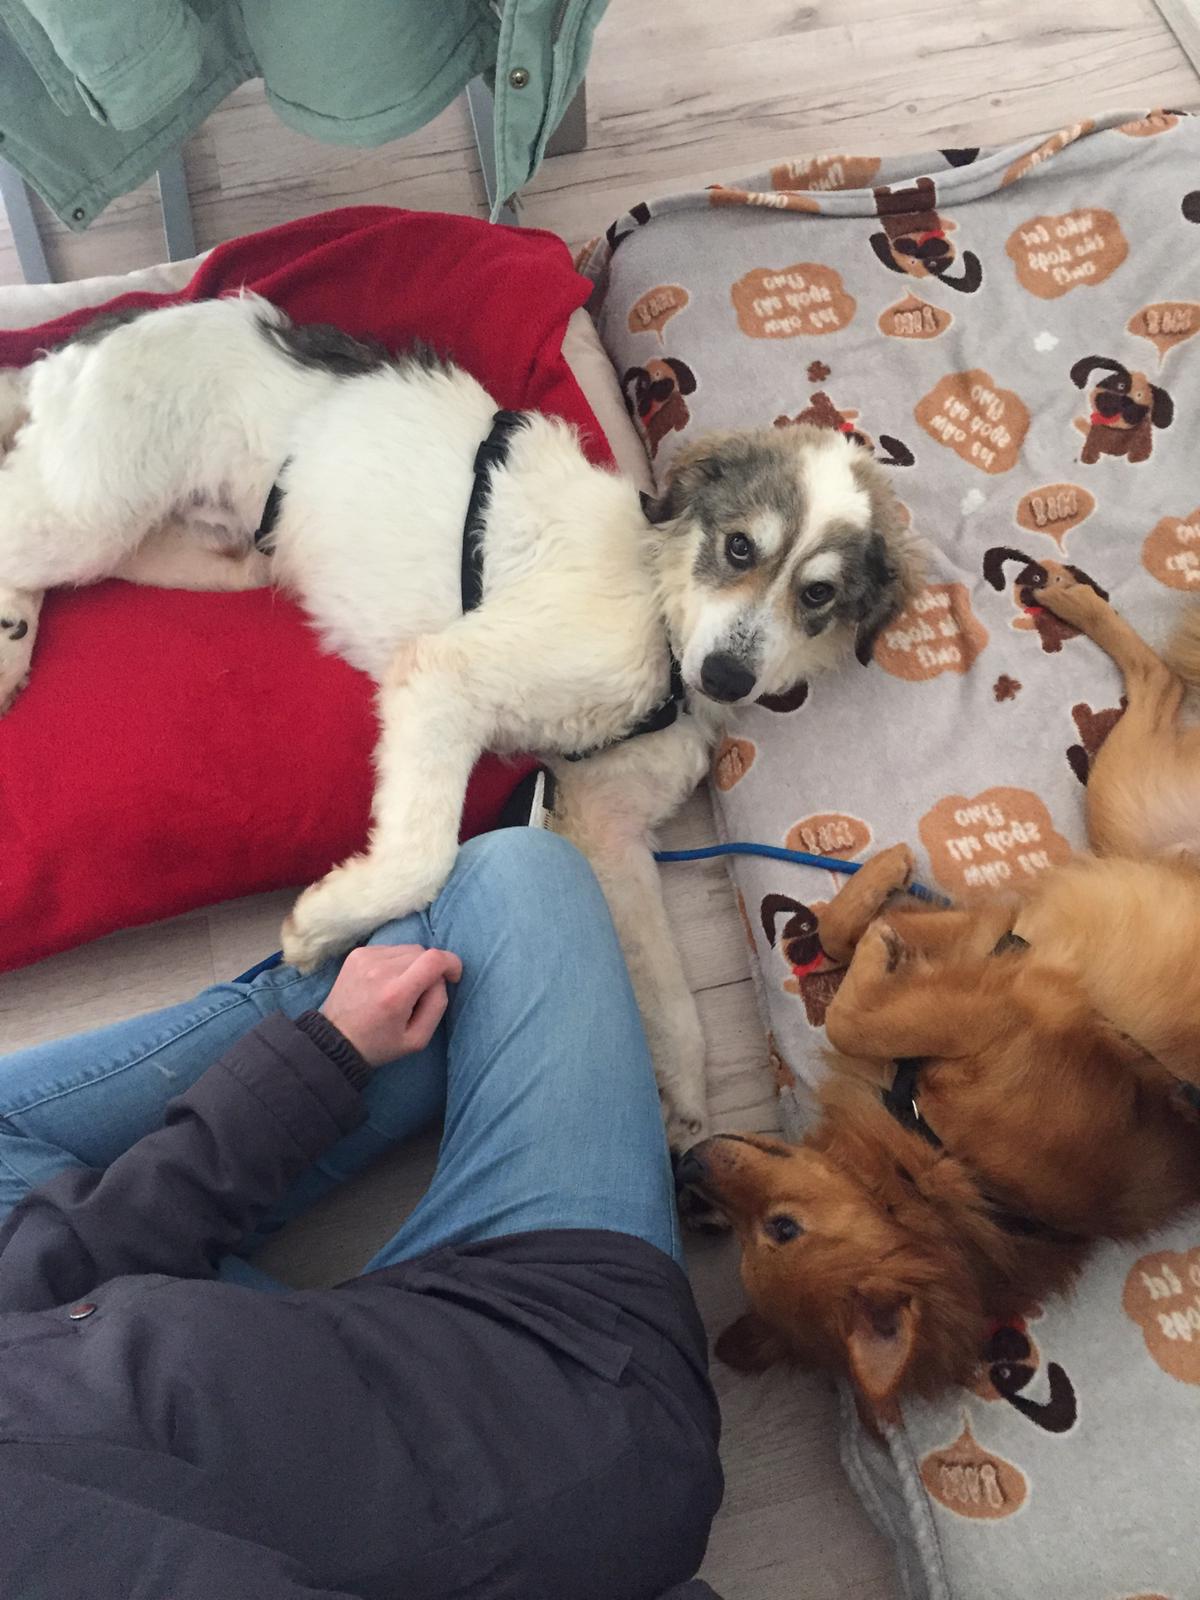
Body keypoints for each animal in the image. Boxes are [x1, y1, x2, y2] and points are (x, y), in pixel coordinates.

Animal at [0, 294, 920, 1146]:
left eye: (818, 595)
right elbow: (423, 856)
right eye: (738, 548)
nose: (727, 676)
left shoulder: (607, 825)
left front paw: (686, 1110)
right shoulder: (447, 676)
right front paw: (329, 922)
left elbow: (672, 997)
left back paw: (14, 635)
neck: (662, 623)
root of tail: (107, 325)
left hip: (189, 551)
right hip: (96, 509)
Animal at [680, 563, 1200, 1410]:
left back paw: (1070, 597)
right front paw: (875, 921)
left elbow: (847, 986)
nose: (687, 1167)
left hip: (1118, 793)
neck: (937, 1161)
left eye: (782, 1228)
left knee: (1160, 675)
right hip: (1125, 801)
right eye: (759, 1239)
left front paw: (878, 898)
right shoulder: (981, 953)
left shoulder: (984, 987)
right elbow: (852, 964)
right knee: (1161, 681)